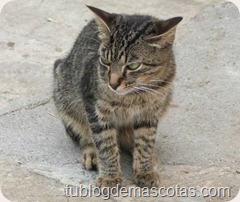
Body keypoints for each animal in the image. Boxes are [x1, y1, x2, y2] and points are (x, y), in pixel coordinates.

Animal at [53, 5, 182, 189]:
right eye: (105, 61)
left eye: (133, 66)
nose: (112, 83)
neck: (134, 95)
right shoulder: (96, 110)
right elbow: (106, 145)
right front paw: (110, 176)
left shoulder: (150, 112)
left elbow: (145, 142)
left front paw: (145, 170)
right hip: (64, 94)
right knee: (85, 135)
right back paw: (92, 153)